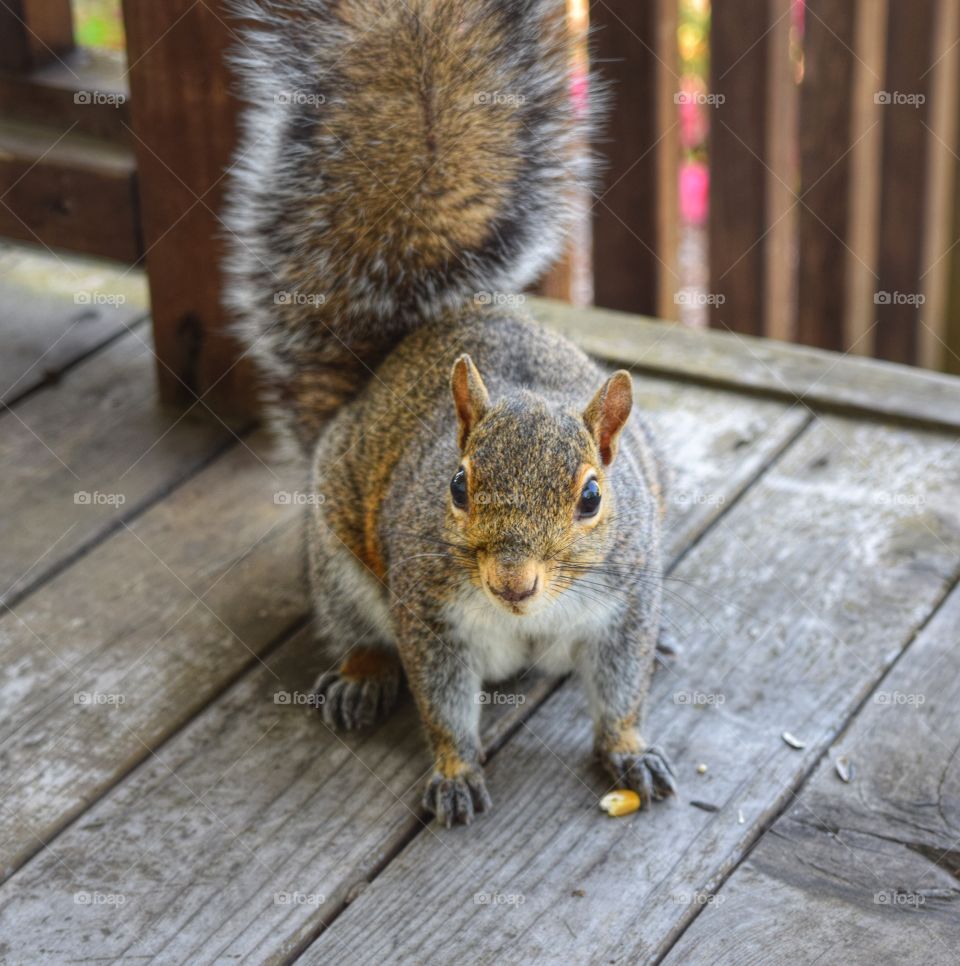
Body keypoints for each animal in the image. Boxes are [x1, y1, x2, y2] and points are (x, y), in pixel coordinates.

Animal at [223, 0, 677, 826]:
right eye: (458, 486)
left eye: (592, 497)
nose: (513, 582)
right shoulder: (430, 615)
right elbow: (441, 702)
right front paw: (456, 770)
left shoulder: (624, 606)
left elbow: (622, 689)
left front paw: (630, 749)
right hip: (337, 564)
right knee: (357, 630)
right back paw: (362, 676)